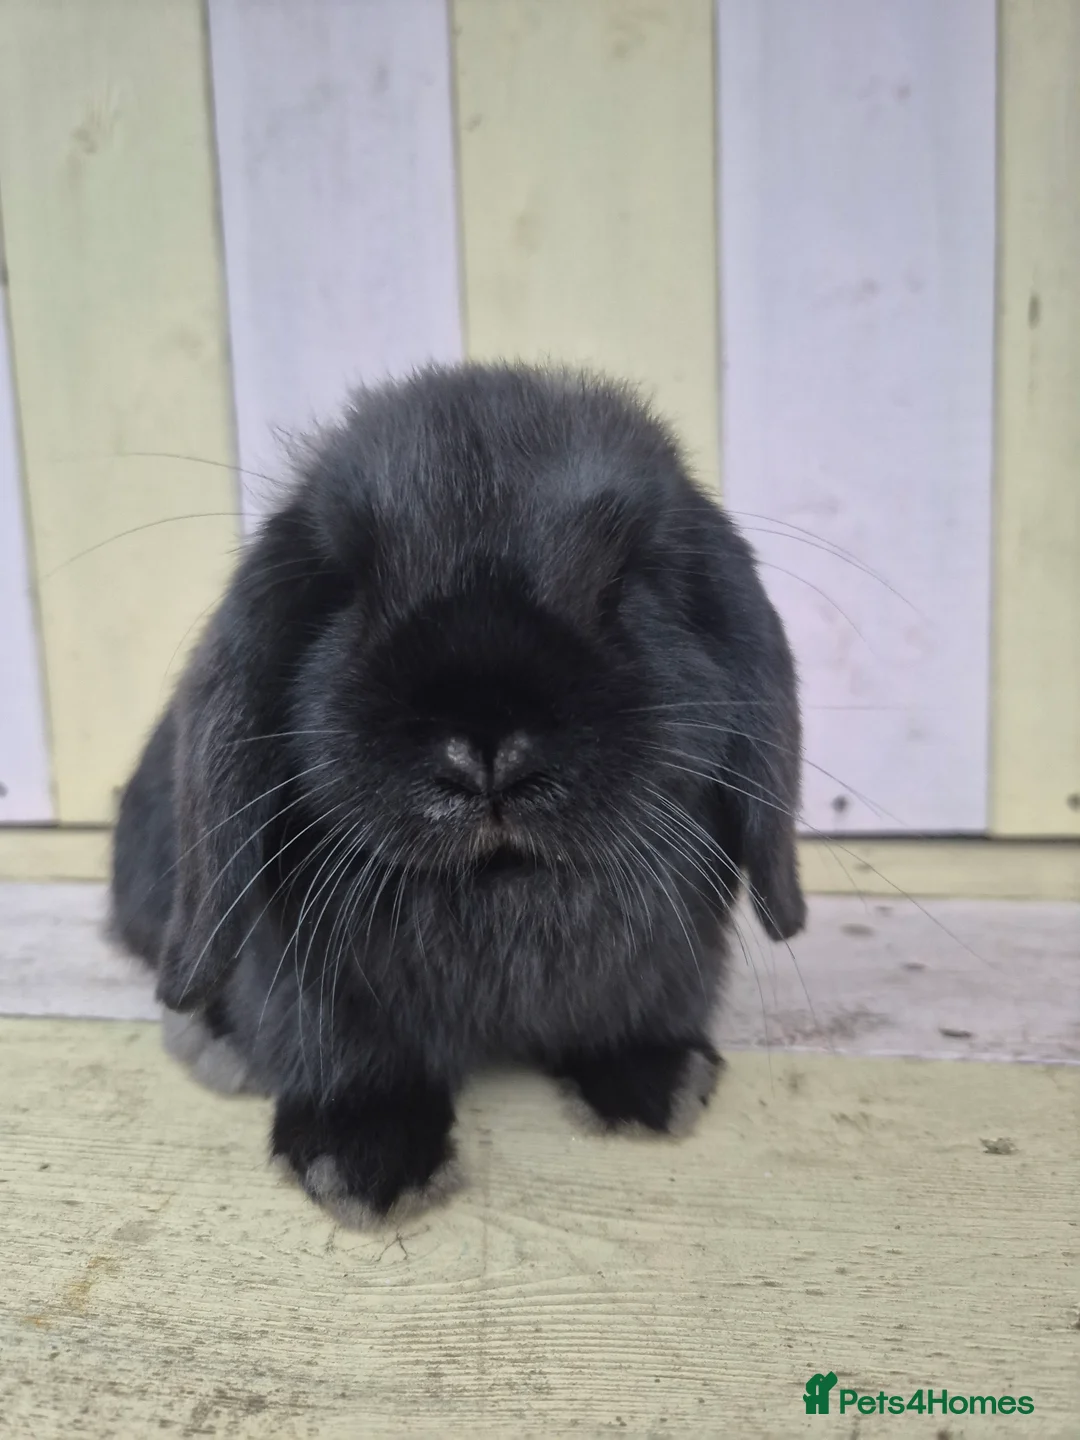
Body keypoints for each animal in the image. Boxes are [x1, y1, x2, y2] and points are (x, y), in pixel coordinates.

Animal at [110, 362, 806, 1227]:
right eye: (346, 593)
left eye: (624, 585)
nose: (486, 750)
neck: (496, 898)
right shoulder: (310, 982)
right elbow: (344, 1053)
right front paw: (366, 1161)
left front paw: (656, 1080)